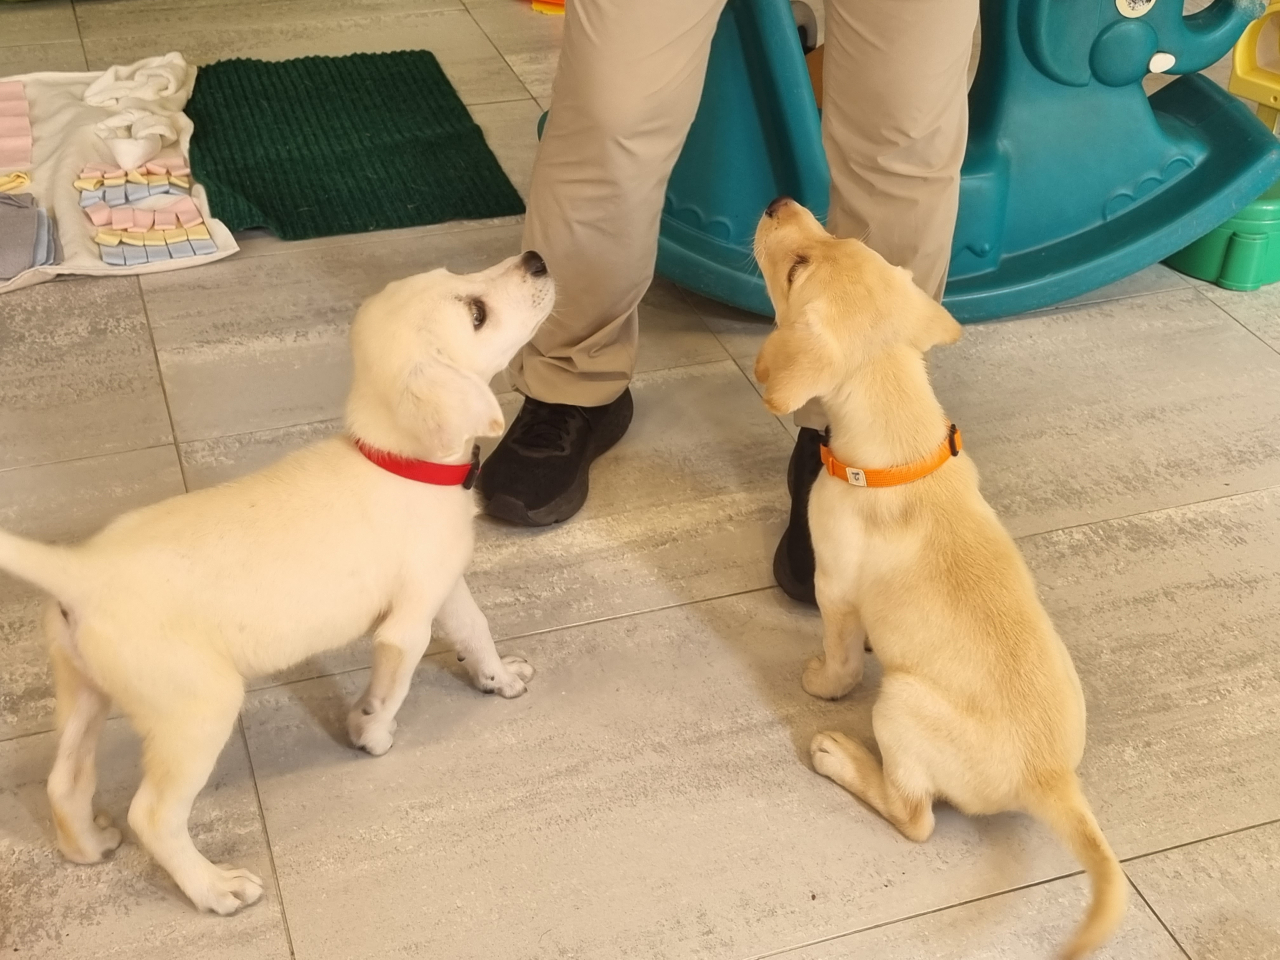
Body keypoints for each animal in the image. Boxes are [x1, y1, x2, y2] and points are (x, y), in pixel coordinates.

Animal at [0, 253, 555, 916]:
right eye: (476, 313)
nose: (537, 260)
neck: (398, 459)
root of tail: (81, 569)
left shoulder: (442, 589)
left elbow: (477, 630)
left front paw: (499, 679)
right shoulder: (405, 630)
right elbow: (391, 690)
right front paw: (371, 734)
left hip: (84, 692)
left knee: (64, 781)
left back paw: (87, 845)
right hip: (199, 707)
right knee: (153, 815)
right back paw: (213, 888)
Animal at [752, 199, 1126, 957]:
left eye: (797, 267)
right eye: (837, 236)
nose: (779, 205)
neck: (895, 436)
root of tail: (1050, 780)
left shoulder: (836, 590)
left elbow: (840, 657)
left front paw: (821, 682)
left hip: (897, 705)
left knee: (915, 817)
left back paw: (841, 757)